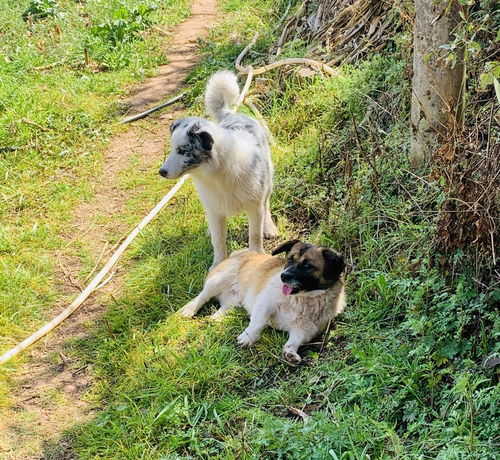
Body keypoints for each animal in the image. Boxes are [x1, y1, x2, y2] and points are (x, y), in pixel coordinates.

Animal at [160, 70, 278, 268]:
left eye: (183, 151)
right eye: (172, 148)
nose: (161, 172)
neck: (217, 175)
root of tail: (231, 114)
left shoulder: (254, 207)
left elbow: (254, 235)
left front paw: (257, 254)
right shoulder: (215, 210)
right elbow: (218, 240)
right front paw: (217, 265)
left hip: (267, 181)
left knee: (266, 203)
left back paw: (269, 227)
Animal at [180, 241, 348, 362]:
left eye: (308, 266)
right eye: (289, 260)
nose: (283, 276)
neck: (302, 299)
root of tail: (241, 252)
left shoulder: (305, 330)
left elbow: (294, 341)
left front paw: (290, 353)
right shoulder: (265, 303)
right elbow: (258, 323)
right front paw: (247, 337)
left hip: (234, 301)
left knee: (226, 306)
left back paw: (216, 318)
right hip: (218, 280)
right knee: (202, 296)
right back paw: (188, 310)